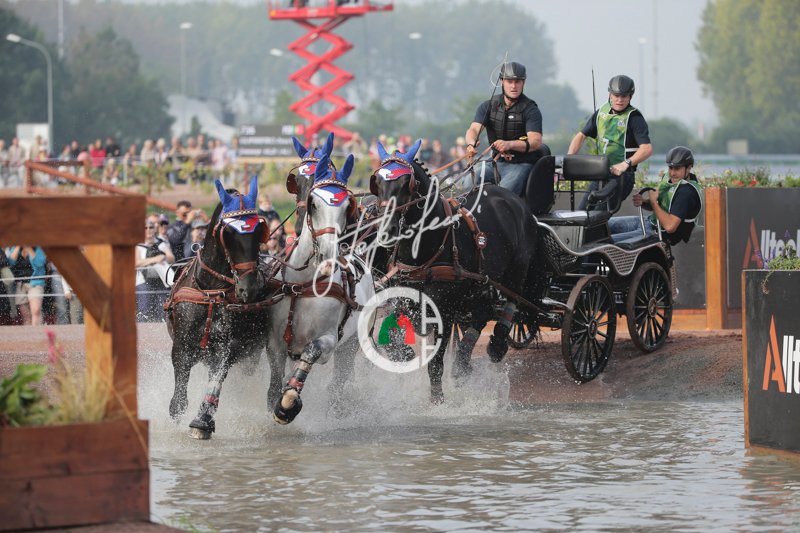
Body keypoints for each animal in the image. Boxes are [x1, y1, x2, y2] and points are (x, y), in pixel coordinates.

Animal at [165, 178, 271, 439]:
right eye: (229, 233)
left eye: (258, 232)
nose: (249, 288)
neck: (212, 293)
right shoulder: (181, 347)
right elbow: (178, 401)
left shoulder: (227, 347)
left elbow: (217, 377)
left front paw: (202, 421)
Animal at [266, 151, 375, 424]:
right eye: (314, 203)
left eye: (348, 206)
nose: (328, 256)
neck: (304, 285)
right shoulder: (274, 341)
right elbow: (274, 382)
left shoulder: (328, 341)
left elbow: (311, 352)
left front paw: (288, 403)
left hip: (350, 345)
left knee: (338, 381)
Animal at [369, 139, 543, 402]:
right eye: (377, 182)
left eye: (406, 184)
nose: (386, 230)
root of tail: (510, 197)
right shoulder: (402, 298)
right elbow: (392, 339)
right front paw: (406, 356)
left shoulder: (444, 310)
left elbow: (435, 363)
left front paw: (437, 399)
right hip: (481, 283)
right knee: (481, 314)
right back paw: (463, 362)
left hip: (516, 269)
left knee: (511, 299)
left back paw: (496, 344)